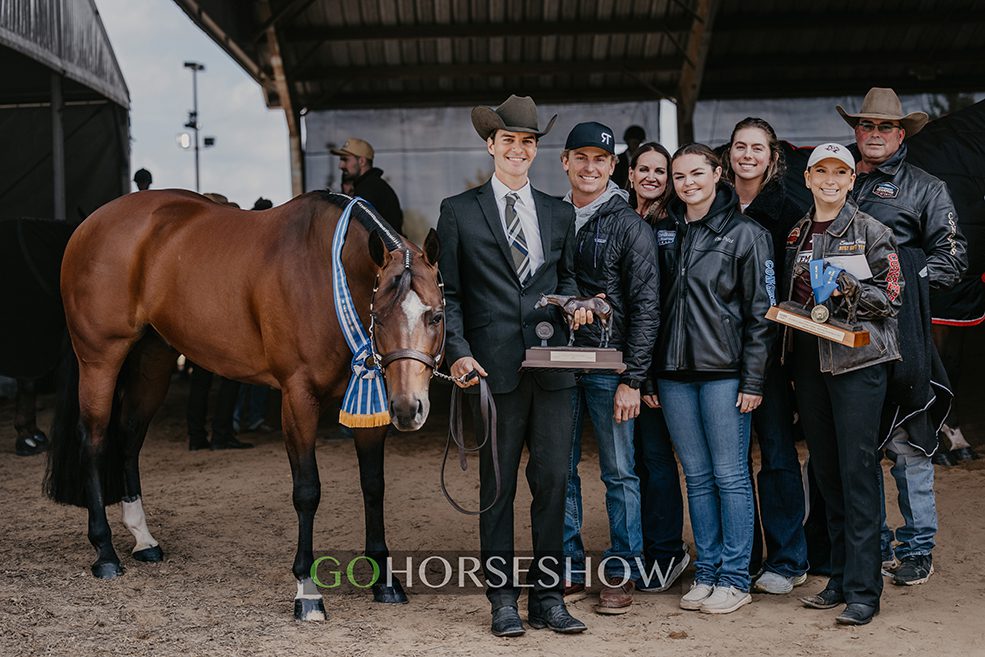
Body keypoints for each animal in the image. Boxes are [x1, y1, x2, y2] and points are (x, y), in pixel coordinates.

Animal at [44, 190, 444, 620]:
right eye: (379, 318)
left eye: (436, 316)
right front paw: (307, 591)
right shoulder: (297, 398)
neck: (327, 272)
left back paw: (143, 540)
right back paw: (104, 553)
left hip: (153, 360)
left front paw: (385, 582)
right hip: (100, 358)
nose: (408, 409)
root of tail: (91, 222)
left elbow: (373, 486)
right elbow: (307, 491)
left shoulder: (371, 399)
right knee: (95, 440)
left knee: (129, 436)